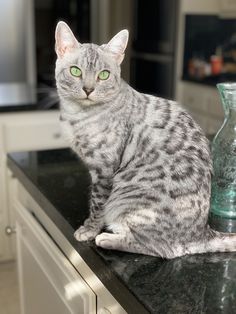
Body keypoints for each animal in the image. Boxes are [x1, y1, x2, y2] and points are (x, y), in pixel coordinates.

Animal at [54, 21, 236, 258]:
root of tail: (202, 233)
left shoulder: (104, 170)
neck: (78, 115)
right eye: (75, 71)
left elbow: (97, 204)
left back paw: (108, 238)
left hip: (130, 202)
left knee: (161, 248)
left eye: (104, 75)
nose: (88, 89)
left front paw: (90, 229)